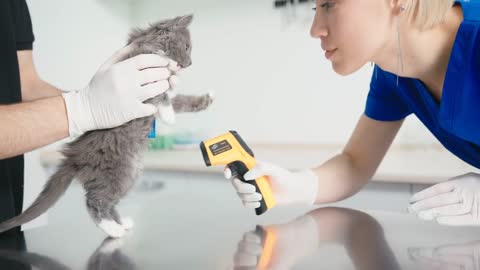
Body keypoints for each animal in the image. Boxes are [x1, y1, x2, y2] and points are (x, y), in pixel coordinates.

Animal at [0, 15, 212, 238]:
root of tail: (74, 157)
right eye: (187, 47)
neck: (152, 50)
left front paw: (205, 99)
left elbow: (180, 100)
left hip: (130, 174)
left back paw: (122, 224)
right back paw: (113, 229)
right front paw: (169, 115)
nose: (190, 63)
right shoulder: (142, 73)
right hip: (117, 171)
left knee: (109, 201)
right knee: (94, 201)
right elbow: (162, 96)